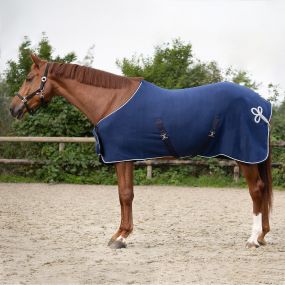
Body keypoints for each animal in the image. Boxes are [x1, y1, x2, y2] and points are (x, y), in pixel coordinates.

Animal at [9, 54, 270, 247]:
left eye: (30, 77)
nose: (13, 108)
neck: (111, 101)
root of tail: (262, 106)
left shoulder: (123, 157)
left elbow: (125, 195)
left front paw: (122, 237)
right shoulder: (126, 158)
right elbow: (123, 195)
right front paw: (119, 235)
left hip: (245, 156)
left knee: (256, 190)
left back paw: (252, 239)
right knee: (263, 189)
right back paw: (263, 236)